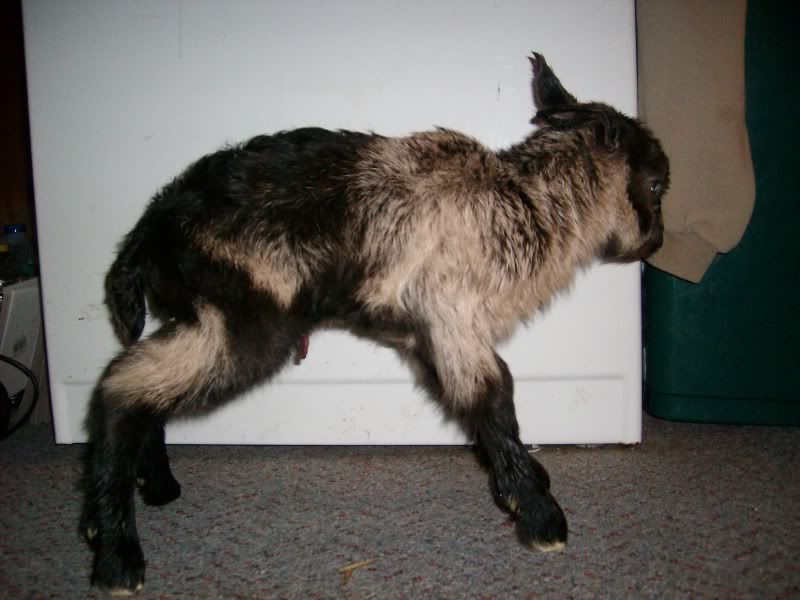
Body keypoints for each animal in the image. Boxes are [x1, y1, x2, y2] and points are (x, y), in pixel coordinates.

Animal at [80, 53, 669, 594]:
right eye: (657, 184)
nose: (656, 242)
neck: (527, 205)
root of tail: (152, 225)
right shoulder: (453, 318)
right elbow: (494, 401)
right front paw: (543, 517)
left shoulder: (438, 331)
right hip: (247, 319)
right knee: (119, 389)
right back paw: (116, 556)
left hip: (202, 316)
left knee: (147, 389)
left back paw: (148, 491)